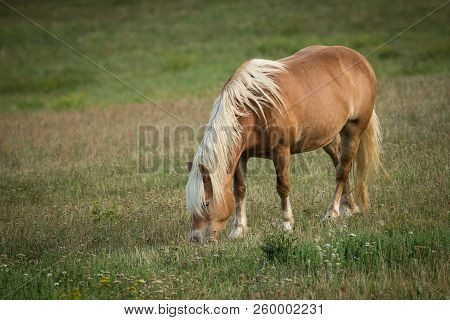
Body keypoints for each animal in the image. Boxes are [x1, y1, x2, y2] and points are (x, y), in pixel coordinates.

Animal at [185, 45, 382, 242]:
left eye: (205, 203)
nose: (195, 239)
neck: (255, 107)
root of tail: (360, 59)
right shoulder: (241, 156)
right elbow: (239, 190)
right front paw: (238, 230)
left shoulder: (281, 151)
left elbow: (283, 187)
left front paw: (286, 224)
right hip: (329, 137)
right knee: (340, 165)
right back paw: (348, 208)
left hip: (353, 129)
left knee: (343, 170)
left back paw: (332, 213)